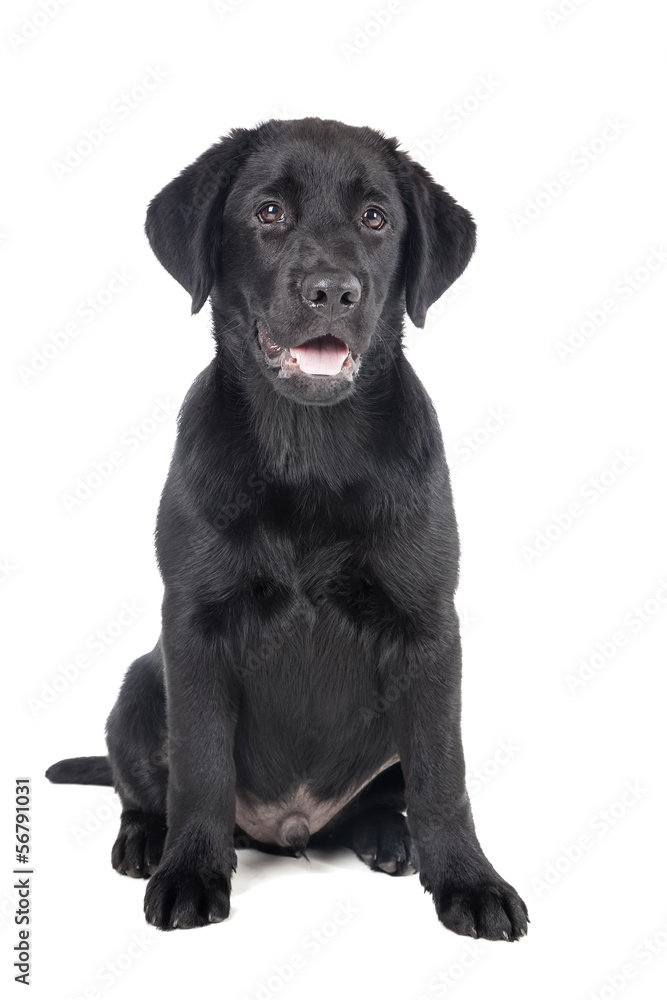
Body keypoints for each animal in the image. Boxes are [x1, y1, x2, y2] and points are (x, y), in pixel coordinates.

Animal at [45, 115, 528, 936]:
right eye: (268, 212)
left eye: (375, 218)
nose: (331, 290)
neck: (309, 451)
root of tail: (289, 827)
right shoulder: (193, 625)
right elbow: (201, 766)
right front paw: (190, 872)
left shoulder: (430, 628)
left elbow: (443, 773)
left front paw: (469, 881)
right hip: (140, 687)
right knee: (141, 788)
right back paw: (146, 842)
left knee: (387, 793)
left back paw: (388, 837)